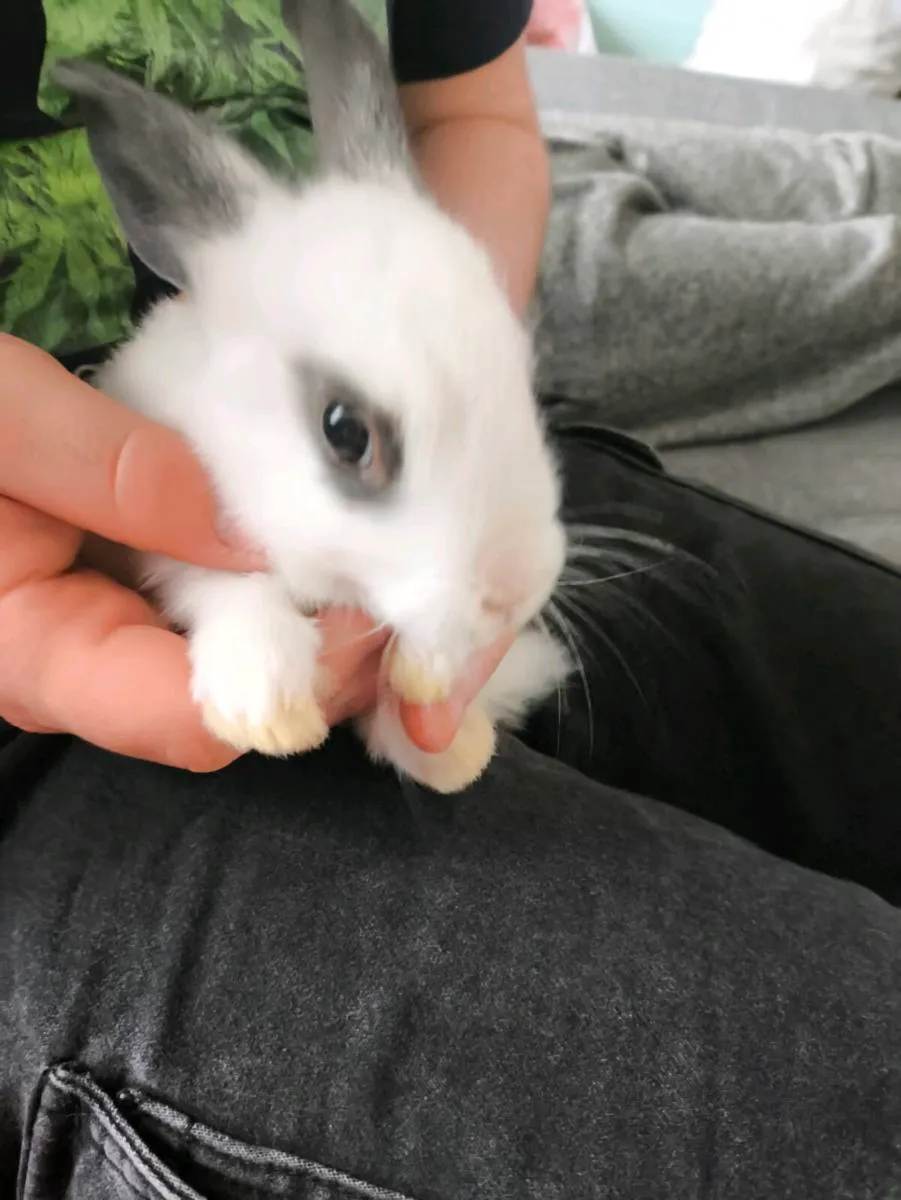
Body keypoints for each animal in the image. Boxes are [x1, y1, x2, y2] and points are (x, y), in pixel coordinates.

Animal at [55, 0, 572, 794]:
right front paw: (267, 711)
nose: (512, 595)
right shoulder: (174, 534)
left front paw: (444, 734)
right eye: (345, 432)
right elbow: (215, 581)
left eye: (521, 370)